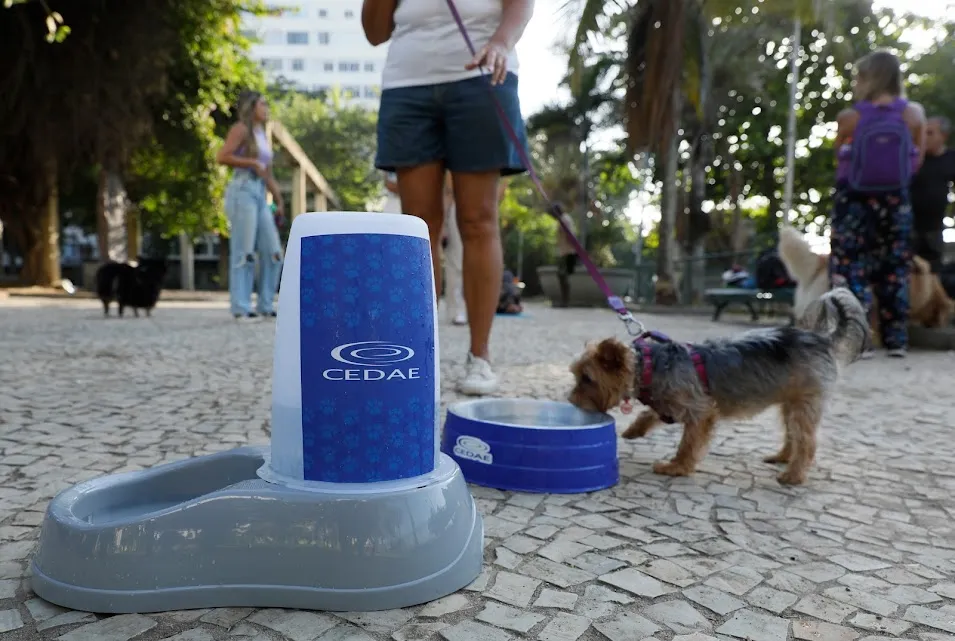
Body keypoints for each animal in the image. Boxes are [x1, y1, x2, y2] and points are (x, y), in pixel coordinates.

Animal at [572, 288, 872, 482]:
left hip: (805, 402)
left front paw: (676, 467)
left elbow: (688, 443)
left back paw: (793, 476)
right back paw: (782, 457)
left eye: (587, 379)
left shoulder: (700, 412)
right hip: (791, 402)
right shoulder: (670, 403)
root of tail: (822, 339)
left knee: (807, 441)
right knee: (793, 435)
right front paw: (635, 429)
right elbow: (651, 413)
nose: (572, 402)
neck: (649, 366)